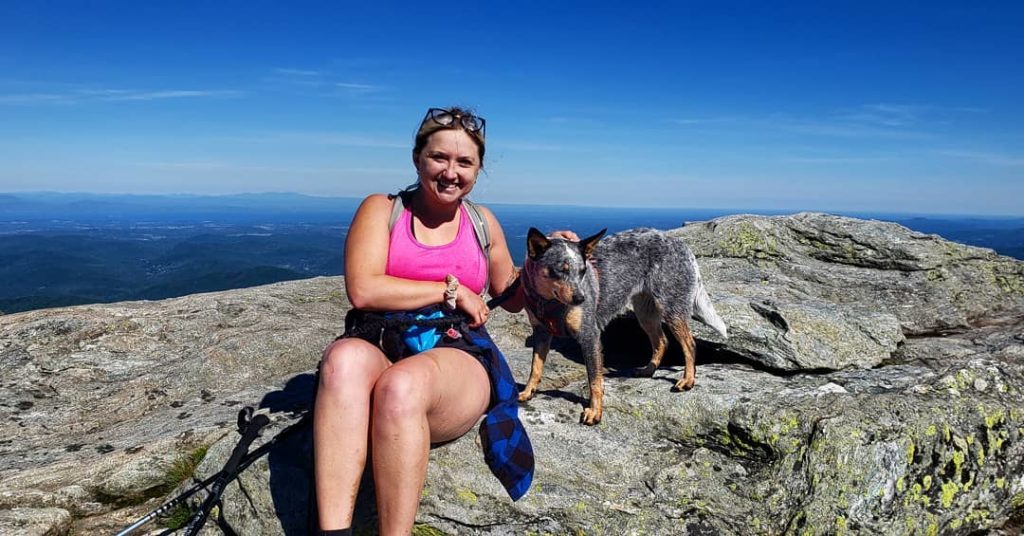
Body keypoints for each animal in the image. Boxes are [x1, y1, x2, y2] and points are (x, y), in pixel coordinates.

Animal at [520, 228, 729, 426]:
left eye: (582, 271)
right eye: (560, 270)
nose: (582, 299)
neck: (546, 301)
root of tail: (681, 244)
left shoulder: (590, 337)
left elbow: (594, 381)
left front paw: (595, 412)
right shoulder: (541, 334)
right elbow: (535, 368)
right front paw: (527, 392)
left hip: (672, 310)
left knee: (689, 345)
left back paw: (688, 380)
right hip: (645, 314)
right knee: (662, 341)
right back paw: (647, 370)